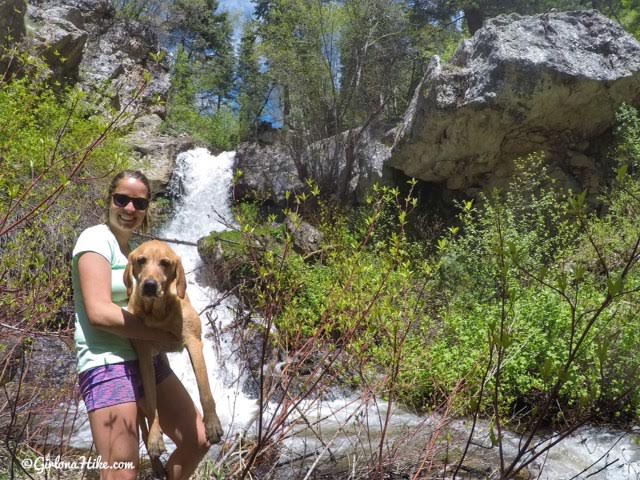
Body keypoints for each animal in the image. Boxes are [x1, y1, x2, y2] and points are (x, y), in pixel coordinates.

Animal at [124, 240, 224, 462]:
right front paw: (154, 437)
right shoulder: (144, 353)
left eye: (165, 263)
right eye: (141, 260)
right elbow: (151, 401)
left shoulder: (194, 342)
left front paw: (212, 424)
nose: (150, 285)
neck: (158, 313)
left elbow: (205, 391)